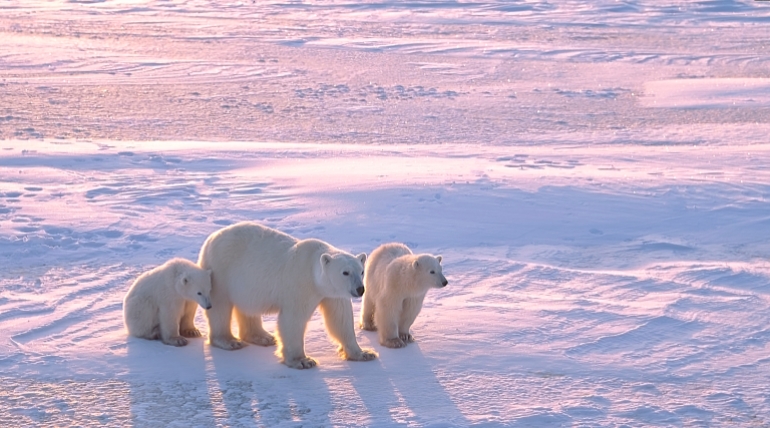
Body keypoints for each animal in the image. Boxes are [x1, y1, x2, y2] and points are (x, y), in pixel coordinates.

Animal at [196, 221, 376, 368]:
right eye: (345, 272)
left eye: (361, 271)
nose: (360, 289)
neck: (312, 270)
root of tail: (211, 238)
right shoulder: (300, 285)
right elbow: (293, 319)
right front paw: (302, 361)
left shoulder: (332, 294)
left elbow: (340, 319)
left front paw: (364, 353)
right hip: (221, 271)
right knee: (220, 306)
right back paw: (229, 341)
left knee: (248, 308)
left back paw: (263, 337)